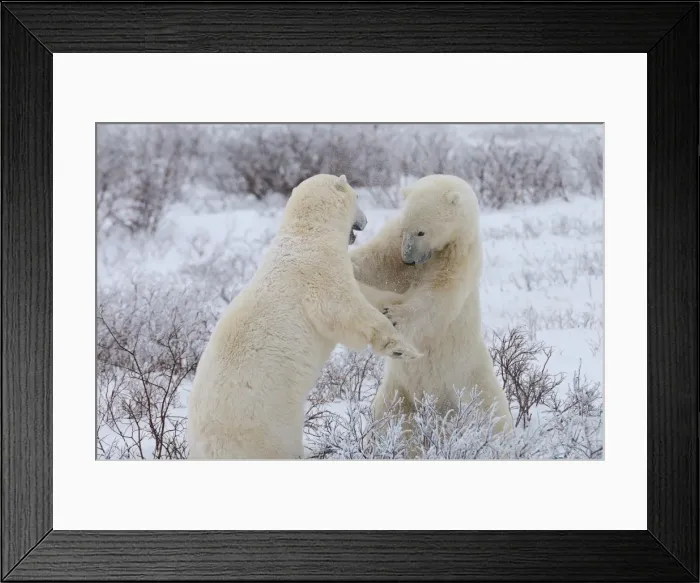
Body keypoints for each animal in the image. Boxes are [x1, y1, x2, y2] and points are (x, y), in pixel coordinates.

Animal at [187, 174, 422, 460]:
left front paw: (395, 303)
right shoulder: (319, 273)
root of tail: (203, 447)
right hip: (266, 427)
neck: (308, 235)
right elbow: (344, 309)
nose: (365, 221)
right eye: (357, 196)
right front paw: (402, 348)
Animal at [350, 174, 513, 435]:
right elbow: (375, 263)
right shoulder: (394, 244)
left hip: (473, 383)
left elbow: (436, 298)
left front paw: (395, 315)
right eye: (406, 228)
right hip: (397, 391)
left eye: (421, 232)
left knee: (492, 417)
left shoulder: (460, 259)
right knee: (388, 419)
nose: (408, 259)